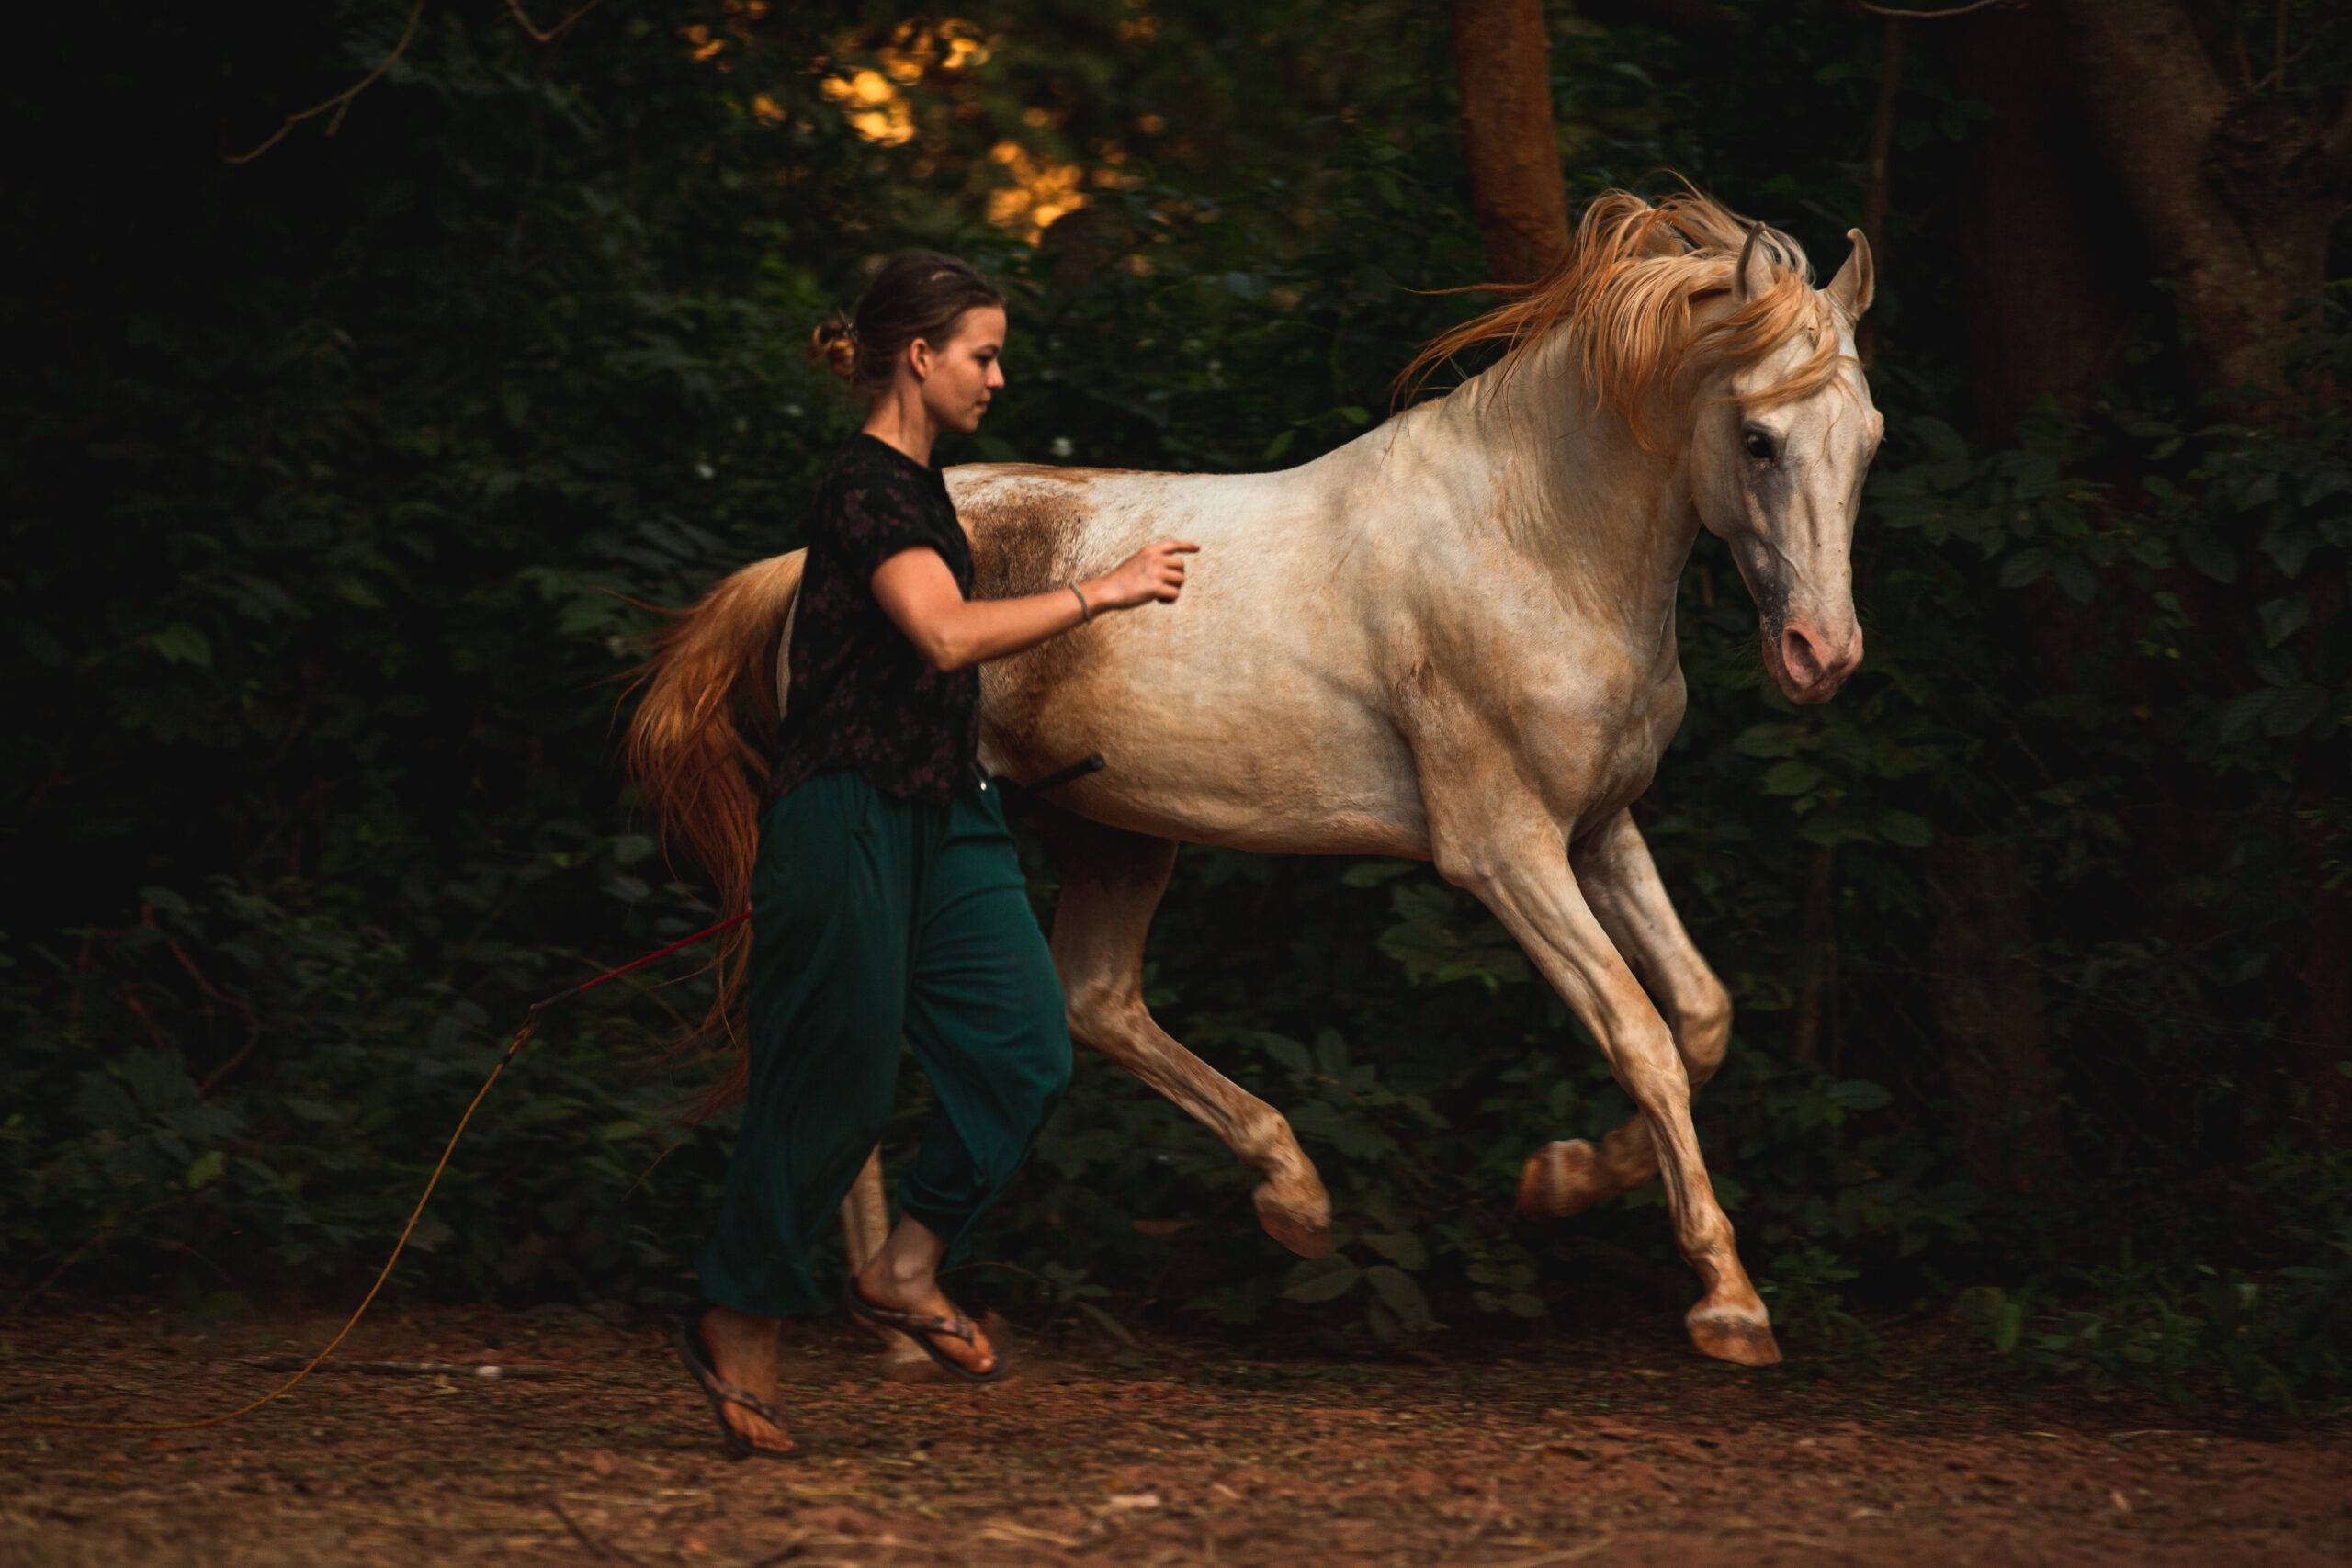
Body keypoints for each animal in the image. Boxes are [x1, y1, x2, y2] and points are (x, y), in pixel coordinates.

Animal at [625, 190, 1871, 1363]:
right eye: (1758, 440)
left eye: (1867, 440)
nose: (1821, 656)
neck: (1529, 542)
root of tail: (804, 567)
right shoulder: (1503, 853)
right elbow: (1641, 1036)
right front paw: (1727, 1303)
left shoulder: (1599, 830)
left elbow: (1698, 1019)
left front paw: (1560, 1178)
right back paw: (884, 1318)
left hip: (1115, 831)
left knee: (1089, 1000)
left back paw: (1283, 1200)